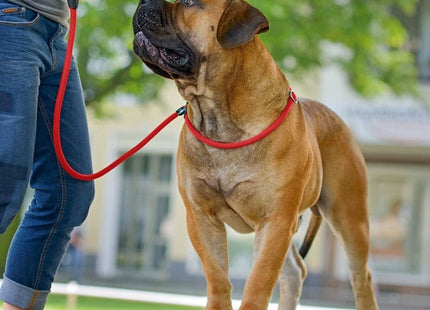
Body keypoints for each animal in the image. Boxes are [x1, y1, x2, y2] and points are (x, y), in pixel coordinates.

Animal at [132, 0, 380, 308]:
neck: (217, 115)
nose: (143, 1)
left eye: (189, 2)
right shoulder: (201, 217)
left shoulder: (275, 220)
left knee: (361, 276)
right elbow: (218, 279)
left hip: (349, 216)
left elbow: (258, 283)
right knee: (294, 272)